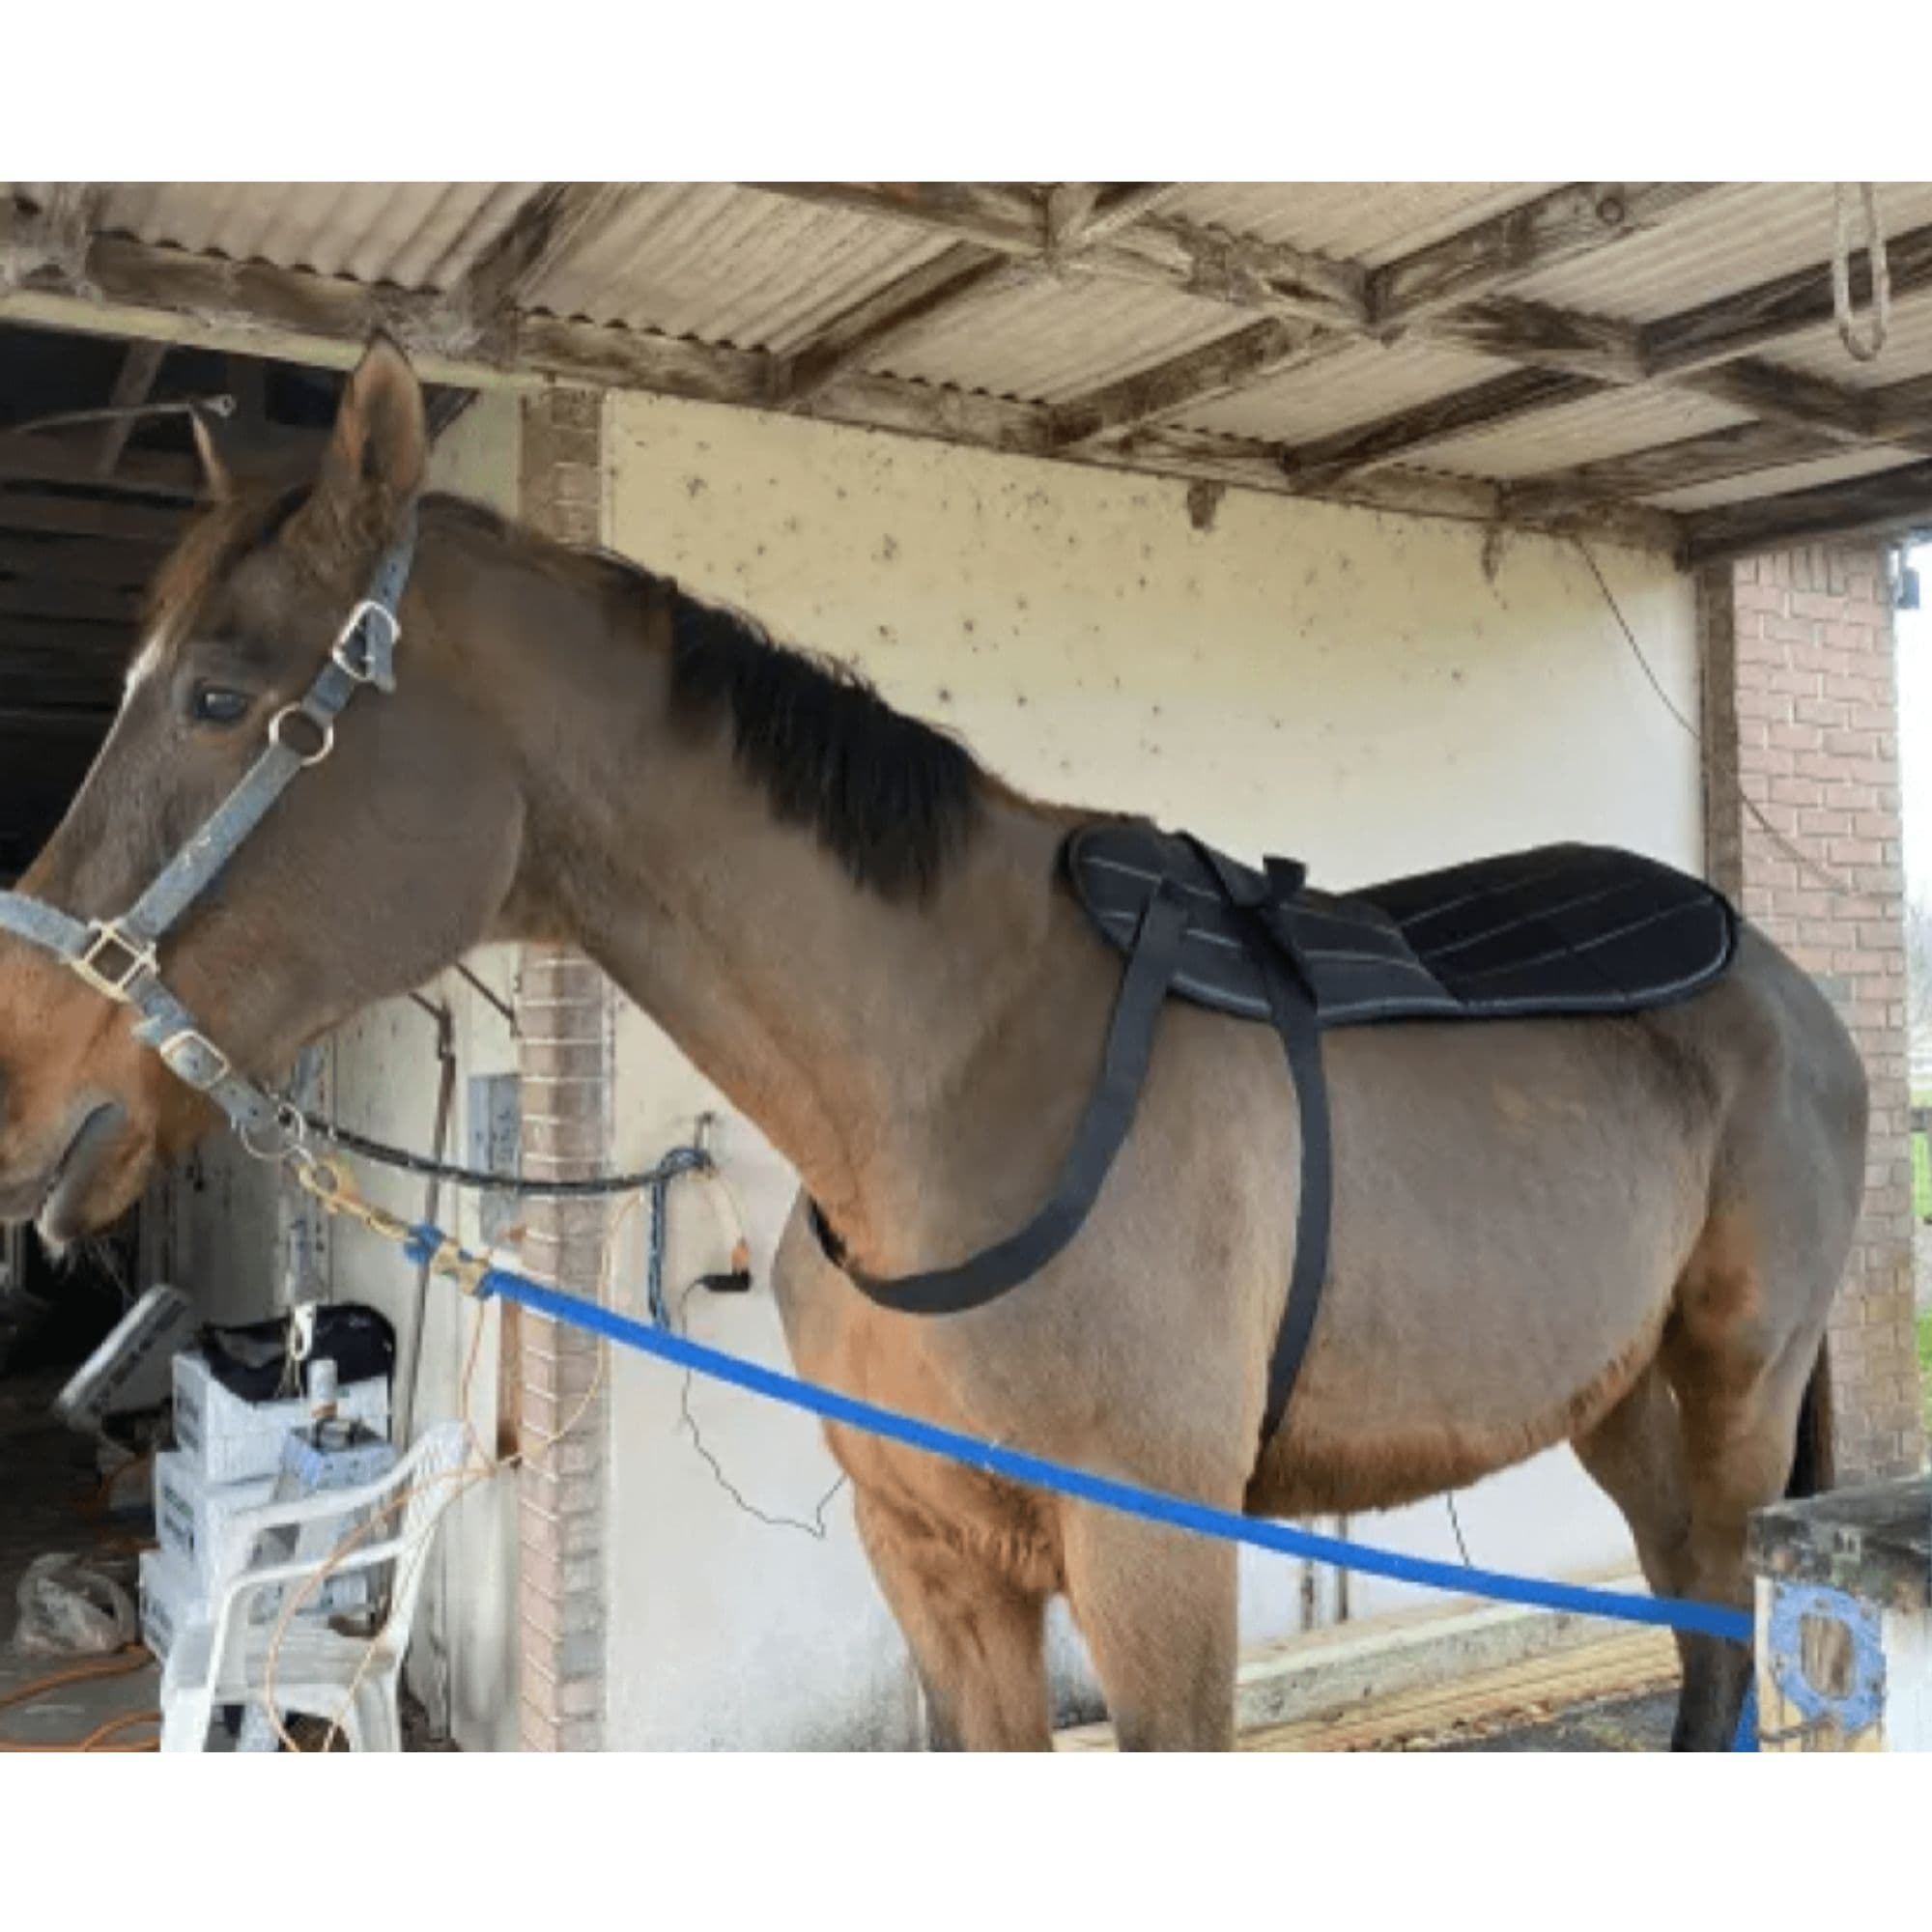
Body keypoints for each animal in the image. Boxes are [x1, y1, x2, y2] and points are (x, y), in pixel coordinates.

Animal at [0, 338, 1867, 1751]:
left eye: (222, 698)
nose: (23, 1088)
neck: (953, 1081)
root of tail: (1781, 988)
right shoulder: (935, 1560)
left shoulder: (1154, 1568)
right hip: (1616, 1404)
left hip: (1734, 1397)